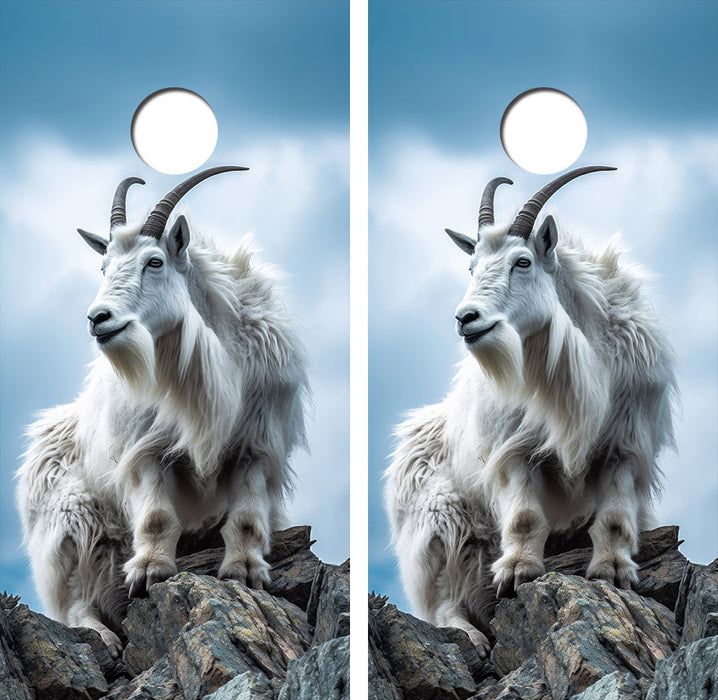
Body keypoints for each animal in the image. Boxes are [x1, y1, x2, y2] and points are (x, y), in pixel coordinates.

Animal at [16, 167, 308, 657]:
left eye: (154, 262)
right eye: (103, 266)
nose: (98, 318)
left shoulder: (256, 444)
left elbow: (247, 518)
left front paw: (246, 571)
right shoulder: (145, 448)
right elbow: (156, 516)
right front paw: (150, 572)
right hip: (70, 521)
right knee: (76, 596)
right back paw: (102, 635)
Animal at [384, 166, 676, 656]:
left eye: (522, 262)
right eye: (471, 266)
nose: (466, 318)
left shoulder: (625, 443)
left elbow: (615, 518)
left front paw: (614, 572)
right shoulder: (512, 448)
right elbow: (524, 516)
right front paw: (518, 572)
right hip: (438, 521)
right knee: (444, 597)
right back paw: (469, 634)